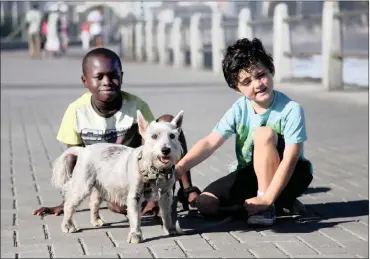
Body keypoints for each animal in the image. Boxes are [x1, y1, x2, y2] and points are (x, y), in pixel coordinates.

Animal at [51, 109, 184, 244]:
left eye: (172, 136)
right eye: (154, 136)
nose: (166, 150)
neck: (155, 171)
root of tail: (82, 151)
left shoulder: (166, 194)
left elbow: (166, 213)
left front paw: (170, 228)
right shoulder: (135, 196)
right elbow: (135, 217)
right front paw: (135, 235)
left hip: (100, 186)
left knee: (93, 202)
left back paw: (96, 220)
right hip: (83, 185)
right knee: (69, 204)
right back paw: (67, 225)